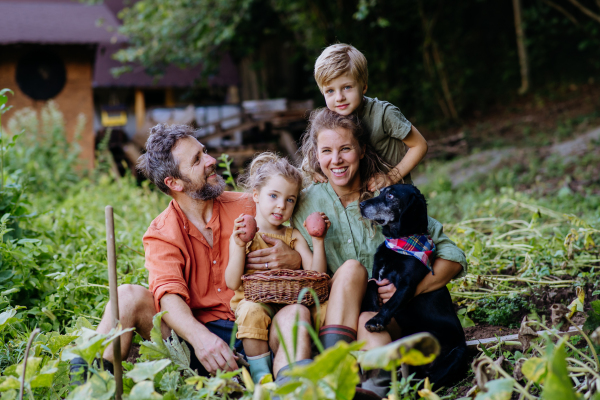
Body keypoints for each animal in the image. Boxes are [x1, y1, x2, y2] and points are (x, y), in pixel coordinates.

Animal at [358, 184, 466, 388]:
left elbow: (391, 303)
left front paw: (375, 321)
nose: (360, 204)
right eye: (380, 191)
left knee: (427, 383)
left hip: (454, 356)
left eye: (391, 195)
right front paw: (371, 307)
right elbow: (370, 286)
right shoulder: (376, 277)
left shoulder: (407, 284)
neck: (399, 242)